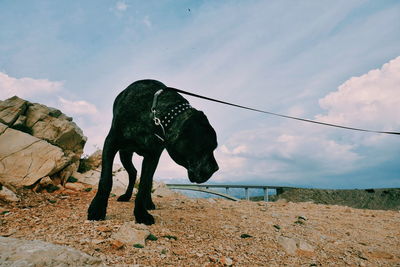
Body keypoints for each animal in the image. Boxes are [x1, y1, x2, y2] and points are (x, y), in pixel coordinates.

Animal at [88, 80, 219, 226]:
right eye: (208, 147)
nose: (216, 168)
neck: (154, 116)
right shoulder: (111, 143)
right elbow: (105, 180)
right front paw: (97, 209)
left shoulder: (152, 156)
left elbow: (144, 185)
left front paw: (141, 213)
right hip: (125, 153)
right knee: (132, 173)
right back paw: (127, 196)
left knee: (145, 178)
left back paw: (148, 203)